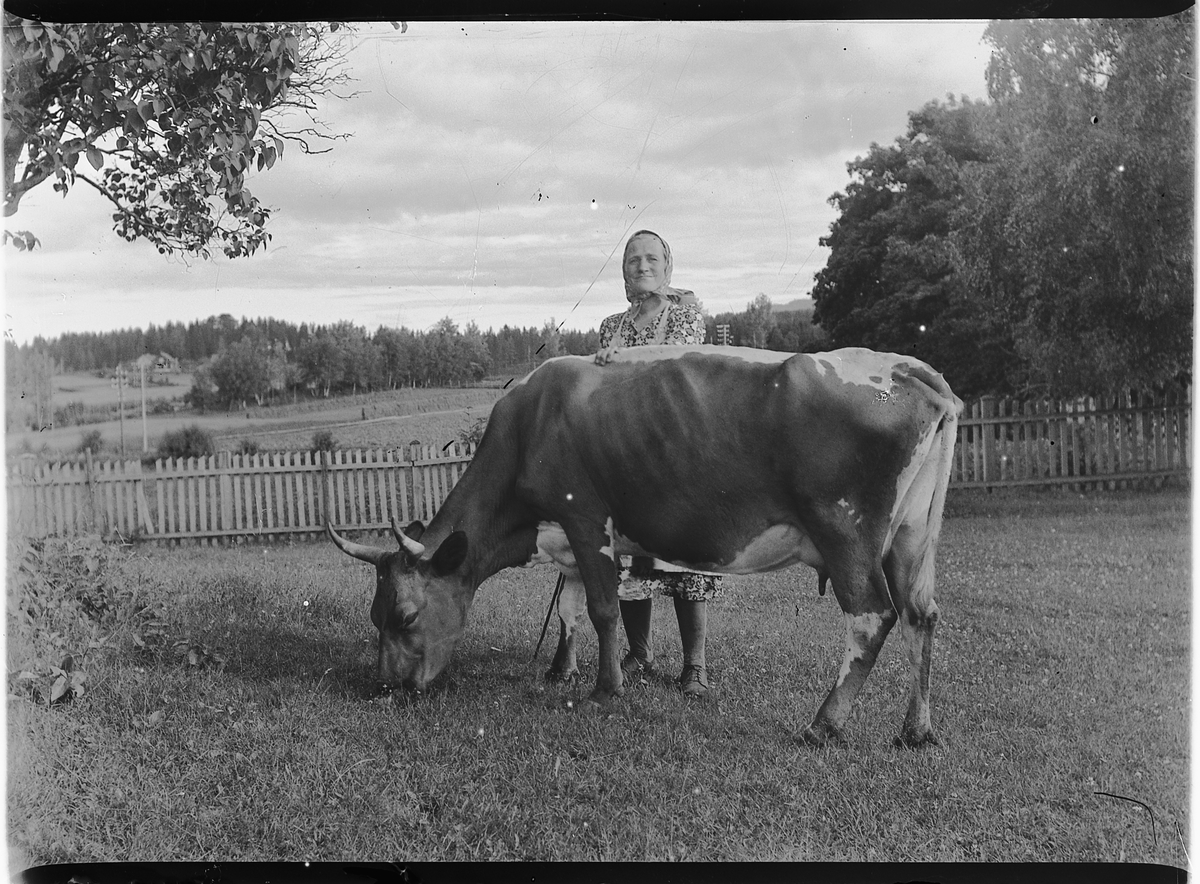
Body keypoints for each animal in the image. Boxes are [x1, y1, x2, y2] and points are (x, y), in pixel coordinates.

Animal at [331, 345, 964, 743]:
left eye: (406, 616)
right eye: (374, 616)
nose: (385, 687)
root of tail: (908, 368)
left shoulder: (585, 518)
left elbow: (603, 609)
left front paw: (605, 688)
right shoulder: (568, 538)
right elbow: (568, 610)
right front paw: (562, 671)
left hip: (846, 531)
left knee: (872, 617)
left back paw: (824, 724)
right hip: (910, 537)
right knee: (920, 614)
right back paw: (916, 730)